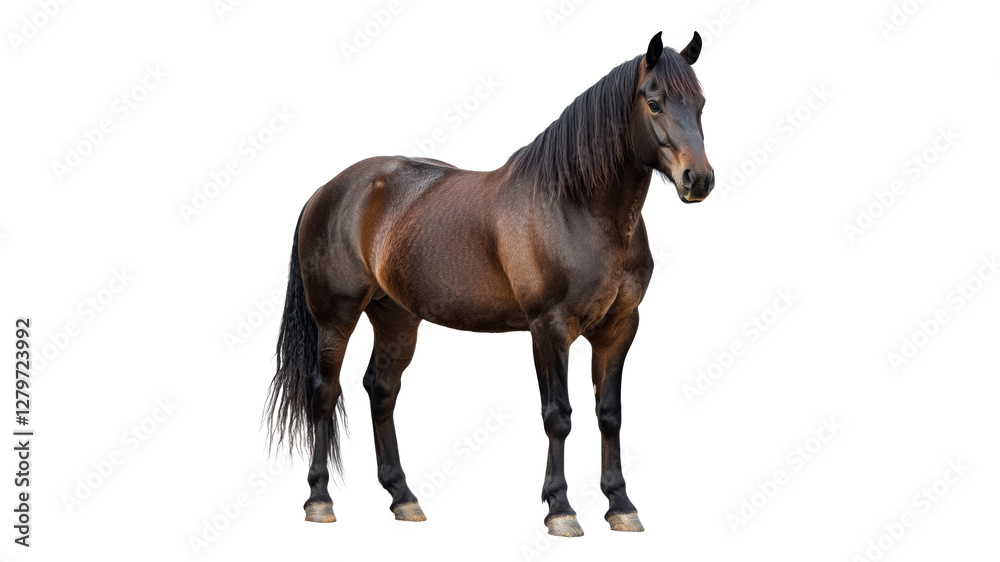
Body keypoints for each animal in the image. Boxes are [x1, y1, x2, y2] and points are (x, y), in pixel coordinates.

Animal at [265, 31, 714, 537]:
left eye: (701, 103)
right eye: (653, 103)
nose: (699, 179)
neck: (576, 206)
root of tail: (327, 190)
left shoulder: (619, 329)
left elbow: (610, 415)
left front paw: (620, 504)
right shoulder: (549, 329)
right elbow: (558, 416)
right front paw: (560, 508)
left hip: (396, 317)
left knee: (380, 389)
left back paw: (404, 498)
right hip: (336, 318)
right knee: (324, 393)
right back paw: (319, 500)